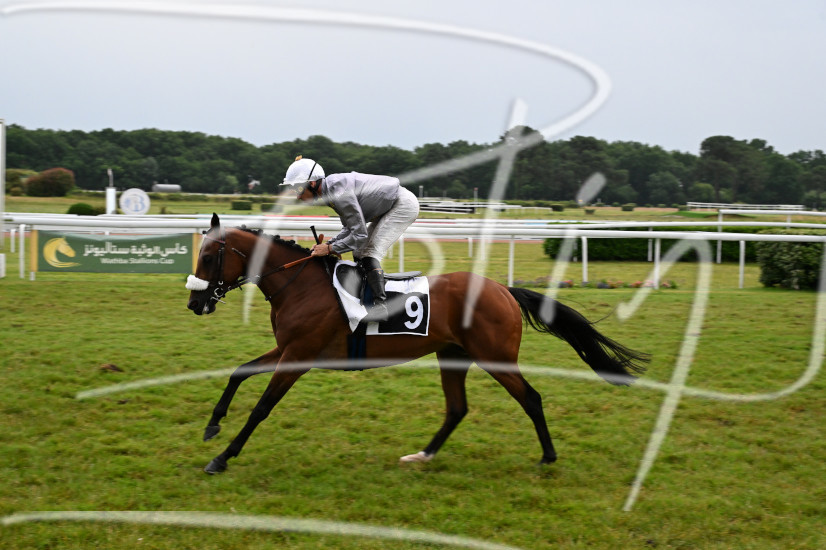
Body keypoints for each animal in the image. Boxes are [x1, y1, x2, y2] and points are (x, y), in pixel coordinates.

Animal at [186, 214, 649, 474]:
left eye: (208, 257)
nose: (194, 303)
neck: (301, 285)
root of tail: (502, 289)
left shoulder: (299, 355)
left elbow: (262, 408)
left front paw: (223, 457)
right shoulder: (286, 349)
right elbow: (239, 371)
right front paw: (212, 425)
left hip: (494, 356)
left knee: (531, 398)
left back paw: (548, 457)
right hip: (453, 355)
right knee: (457, 408)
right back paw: (423, 456)